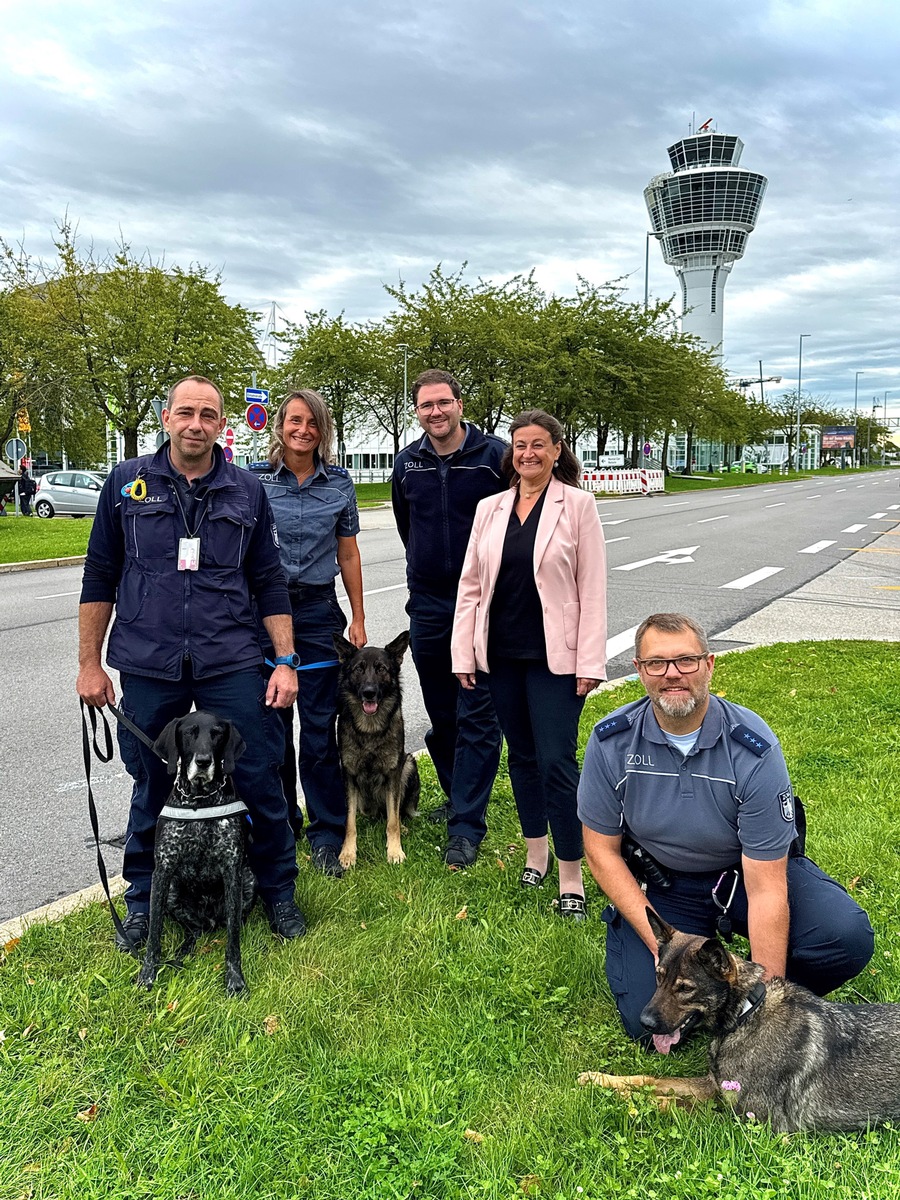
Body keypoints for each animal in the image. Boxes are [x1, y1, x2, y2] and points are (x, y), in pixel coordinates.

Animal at [137, 710, 259, 993]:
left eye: (217, 734)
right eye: (188, 732)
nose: (203, 761)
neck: (200, 801)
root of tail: (209, 921)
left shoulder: (232, 870)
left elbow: (233, 941)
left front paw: (235, 979)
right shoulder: (162, 871)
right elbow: (154, 934)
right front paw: (148, 974)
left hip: (249, 880)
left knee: (234, 923)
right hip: (173, 892)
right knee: (191, 930)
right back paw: (183, 951)